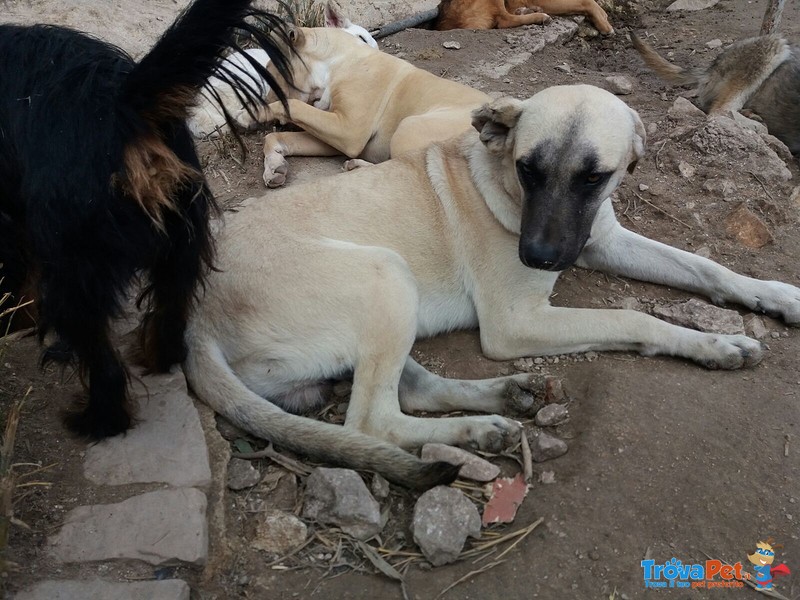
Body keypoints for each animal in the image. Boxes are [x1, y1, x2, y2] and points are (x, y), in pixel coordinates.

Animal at [0, 0, 294, 438]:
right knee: (172, 314)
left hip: (76, 268)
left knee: (102, 361)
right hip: (181, 239)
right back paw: (157, 357)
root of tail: (122, 104)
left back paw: (97, 421)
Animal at [184, 84, 800, 488]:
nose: (540, 257)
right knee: (371, 421)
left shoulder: (602, 240)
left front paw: (772, 297)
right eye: (529, 169)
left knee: (409, 393)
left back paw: (502, 403)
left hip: (387, 301)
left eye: (594, 177)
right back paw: (477, 428)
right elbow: (635, 318)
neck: (496, 178)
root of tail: (193, 319)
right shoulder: (516, 322)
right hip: (386, 275)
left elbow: (704, 267)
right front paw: (713, 343)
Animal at [253, 25, 488, 188]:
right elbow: (277, 137)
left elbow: (294, 105)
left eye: (271, 73)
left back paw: (357, 167)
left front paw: (256, 111)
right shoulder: (334, 136)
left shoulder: (348, 131)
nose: (266, 97)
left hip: (407, 129)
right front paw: (274, 166)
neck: (336, 61)